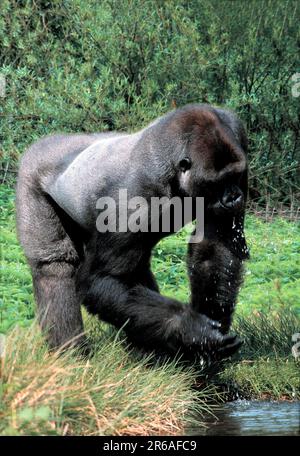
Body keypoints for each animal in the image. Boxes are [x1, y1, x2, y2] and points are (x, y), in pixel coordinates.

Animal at [15, 102, 248, 360]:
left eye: (236, 175)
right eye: (216, 183)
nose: (235, 197)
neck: (170, 168)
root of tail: (44, 142)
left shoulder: (238, 133)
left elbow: (216, 246)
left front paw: (209, 336)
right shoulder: (132, 202)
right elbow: (104, 279)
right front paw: (190, 328)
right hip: (30, 173)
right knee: (54, 266)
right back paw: (71, 356)